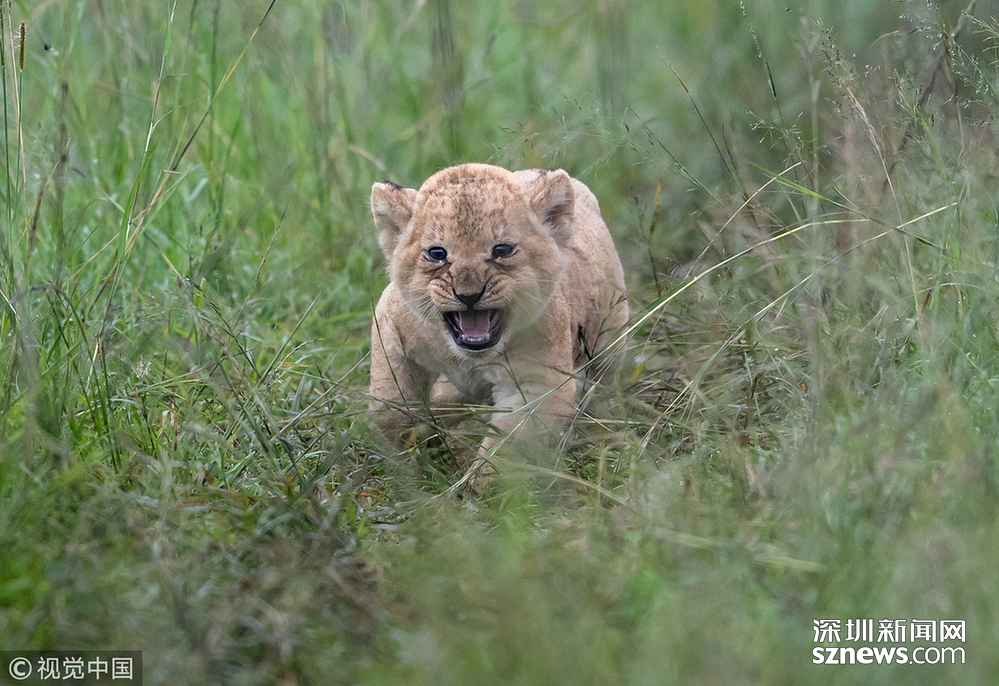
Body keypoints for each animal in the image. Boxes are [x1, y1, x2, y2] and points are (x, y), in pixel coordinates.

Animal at [368, 163, 628, 481]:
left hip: (608, 344)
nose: (468, 295)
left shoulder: (538, 384)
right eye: (437, 253)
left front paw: (477, 484)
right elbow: (390, 401)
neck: (465, 357)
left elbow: (508, 444)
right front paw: (401, 459)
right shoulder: (390, 325)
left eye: (501, 250)